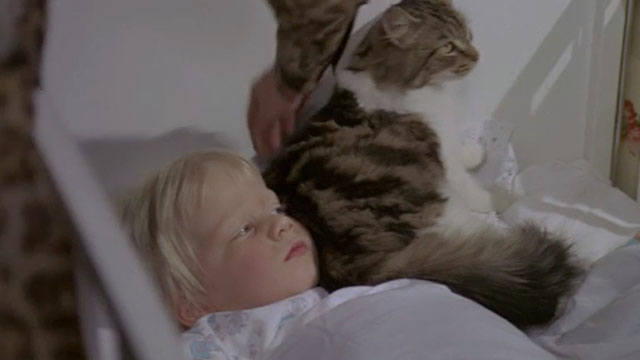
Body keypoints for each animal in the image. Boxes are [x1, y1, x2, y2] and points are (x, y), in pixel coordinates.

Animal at [262, 0, 584, 330]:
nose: (477, 54)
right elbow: (472, 186)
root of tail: (338, 258)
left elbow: (462, 150)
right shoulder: (444, 158)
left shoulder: (447, 138)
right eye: (448, 47)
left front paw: (475, 152)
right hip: (438, 207)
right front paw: (499, 195)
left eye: (468, 35)